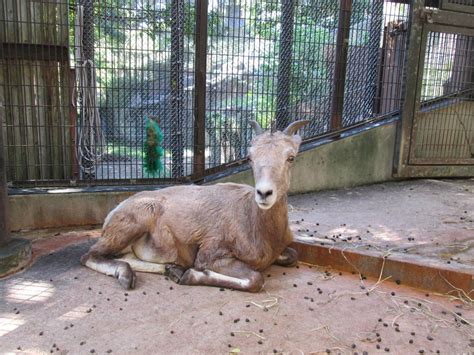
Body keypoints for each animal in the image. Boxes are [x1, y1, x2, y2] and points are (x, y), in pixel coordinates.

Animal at [81, 119, 312, 292]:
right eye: (250, 157)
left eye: (291, 157)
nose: (264, 193)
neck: (256, 226)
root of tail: (111, 215)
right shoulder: (212, 254)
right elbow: (255, 280)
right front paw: (189, 274)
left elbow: (293, 255)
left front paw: (178, 272)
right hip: (132, 224)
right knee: (89, 255)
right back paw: (128, 276)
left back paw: (170, 269)